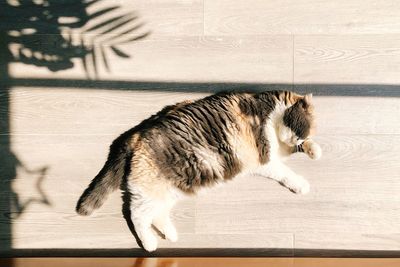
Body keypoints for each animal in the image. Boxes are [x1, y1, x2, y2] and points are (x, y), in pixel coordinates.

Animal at [76, 91, 324, 252]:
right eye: (301, 127)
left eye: (304, 134)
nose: (298, 139)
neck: (271, 109)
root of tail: (138, 134)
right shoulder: (267, 158)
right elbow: (284, 171)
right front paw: (301, 183)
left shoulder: (277, 152)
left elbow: (296, 153)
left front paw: (314, 150)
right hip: (152, 187)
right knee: (137, 214)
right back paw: (150, 245)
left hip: (169, 188)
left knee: (156, 213)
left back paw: (170, 234)